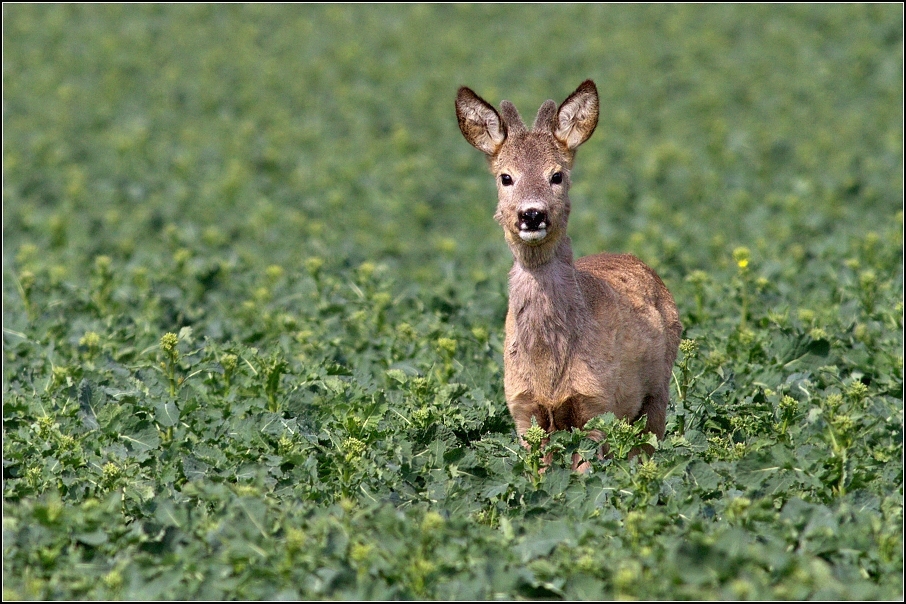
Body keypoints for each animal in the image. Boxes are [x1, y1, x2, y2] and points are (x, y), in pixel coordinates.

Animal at [456, 80, 680, 470]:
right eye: (506, 177)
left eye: (556, 175)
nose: (532, 214)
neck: (549, 368)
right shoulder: (523, 410)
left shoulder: (597, 403)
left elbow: (585, 470)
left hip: (657, 393)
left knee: (646, 446)